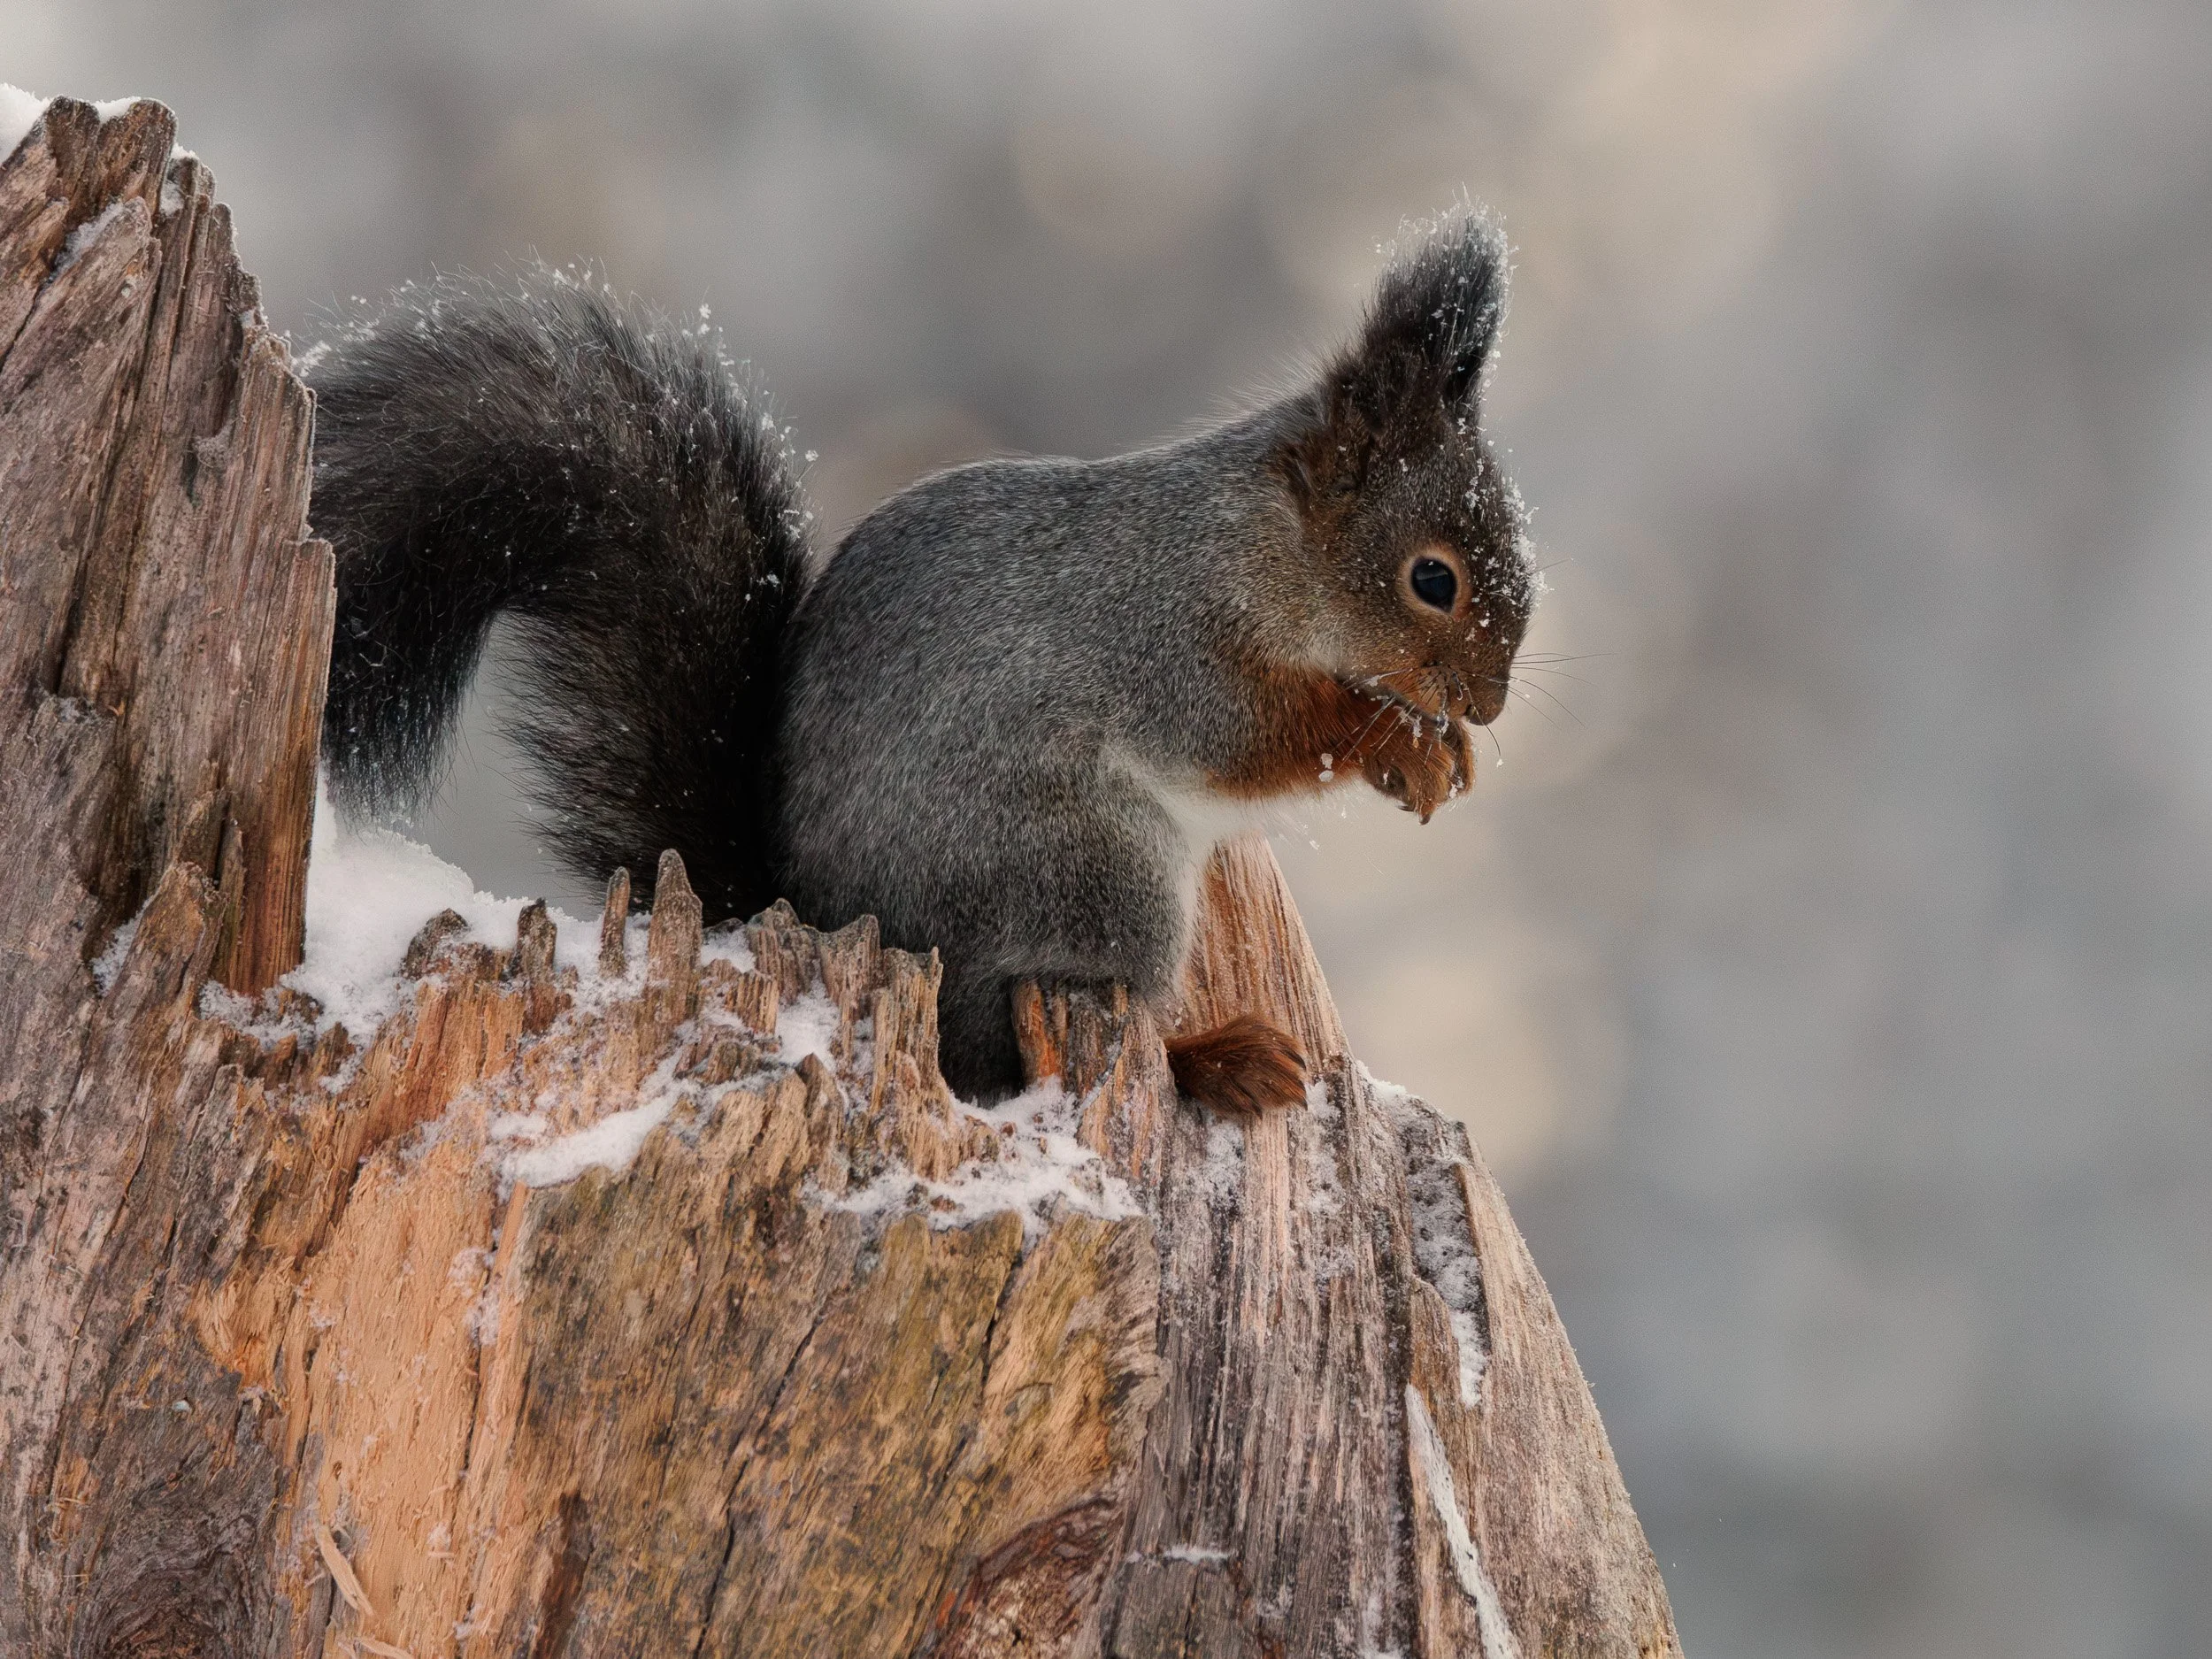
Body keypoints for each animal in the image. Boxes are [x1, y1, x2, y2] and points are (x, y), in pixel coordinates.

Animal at [310, 208, 1533, 1111]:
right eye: (1433, 579)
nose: (1491, 703)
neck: (1264, 545)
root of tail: (807, 911)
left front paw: (1450, 752)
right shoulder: (1168, 637)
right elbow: (1246, 736)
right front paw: (1394, 744)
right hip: (1087, 874)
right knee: (1000, 1047)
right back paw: (1211, 1061)